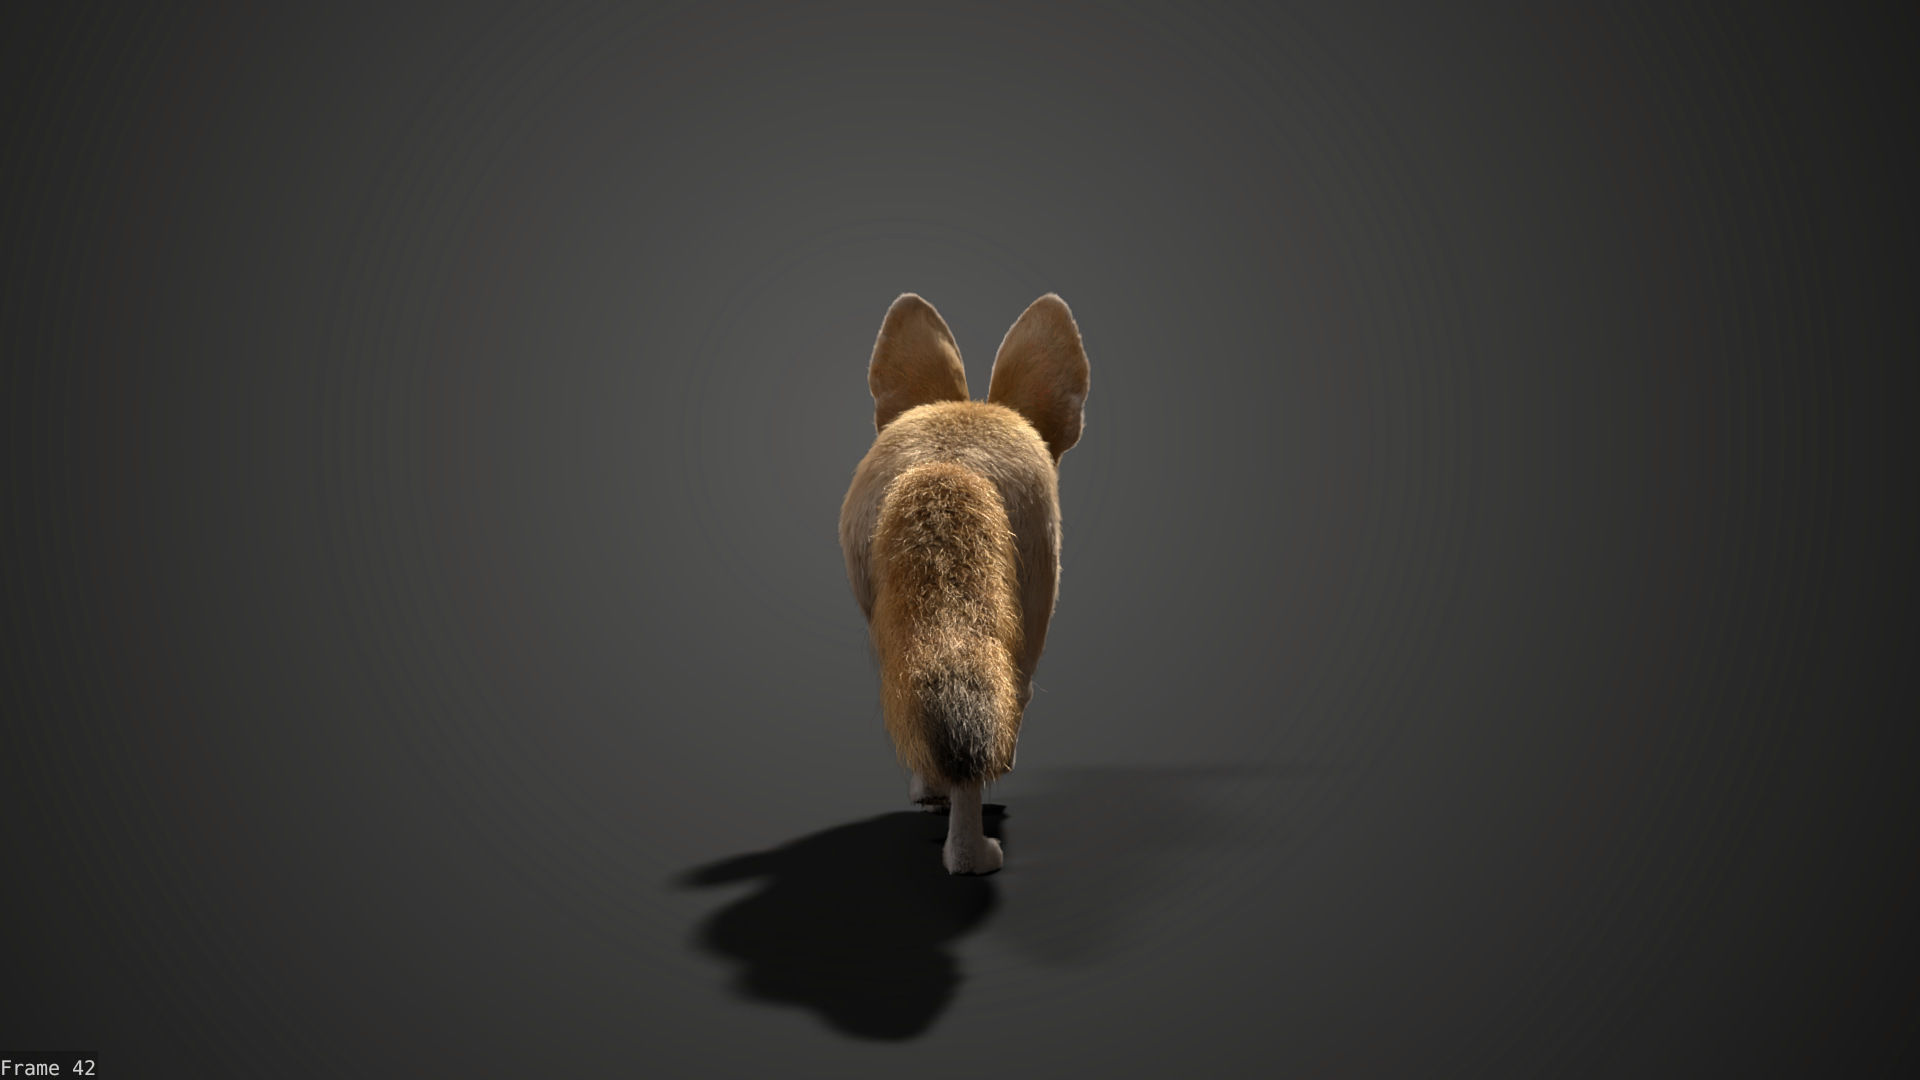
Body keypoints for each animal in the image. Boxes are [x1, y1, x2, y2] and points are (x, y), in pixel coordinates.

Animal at [840, 292, 1090, 875]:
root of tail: (948, 468)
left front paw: (929, 793)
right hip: (1028, 610)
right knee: (998, 709)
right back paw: (975, 855)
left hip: (885, 614)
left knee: (913, 697)